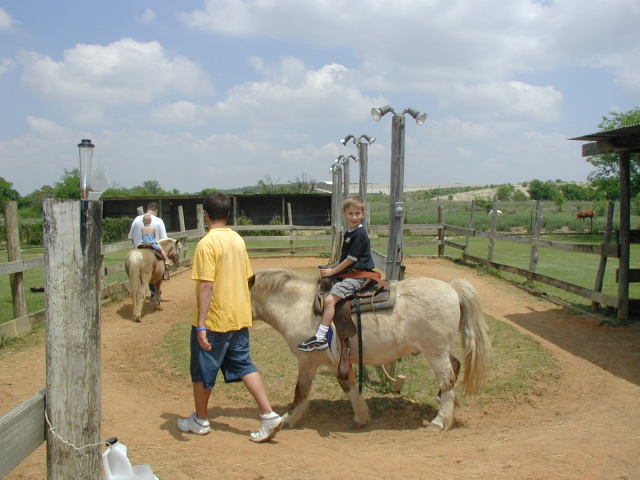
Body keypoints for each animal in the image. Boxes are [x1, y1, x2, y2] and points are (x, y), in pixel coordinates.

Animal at [250, 268, 492, 431]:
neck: (298, 305)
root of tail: (452, 289)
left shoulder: (307, 360)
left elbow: (301, 390)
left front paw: (288, 419)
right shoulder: (336, 361)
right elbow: (347, 383)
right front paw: (362, 416)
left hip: (435, 352)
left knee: (447, 379)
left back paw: (440, 421)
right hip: (440, 350)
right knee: (455, 366)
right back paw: (445, 404)